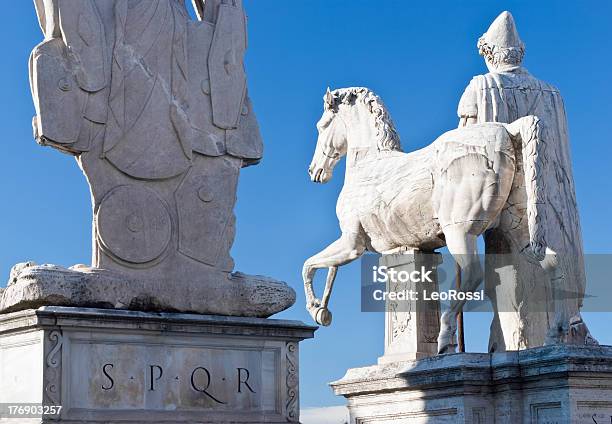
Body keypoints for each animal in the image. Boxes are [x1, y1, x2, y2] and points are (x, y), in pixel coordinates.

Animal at [302, 87, 564, 354]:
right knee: (551, 262)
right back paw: (554, 334)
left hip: (459, 232)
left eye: (321, 126)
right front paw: (320, 309)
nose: (315, 171)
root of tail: (508, 129)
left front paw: (316, 309)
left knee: (473, 273)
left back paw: (445, 336)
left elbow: (309, 265)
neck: (370, 163)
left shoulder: (351, 244)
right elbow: (322, 266)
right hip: (520, 229)